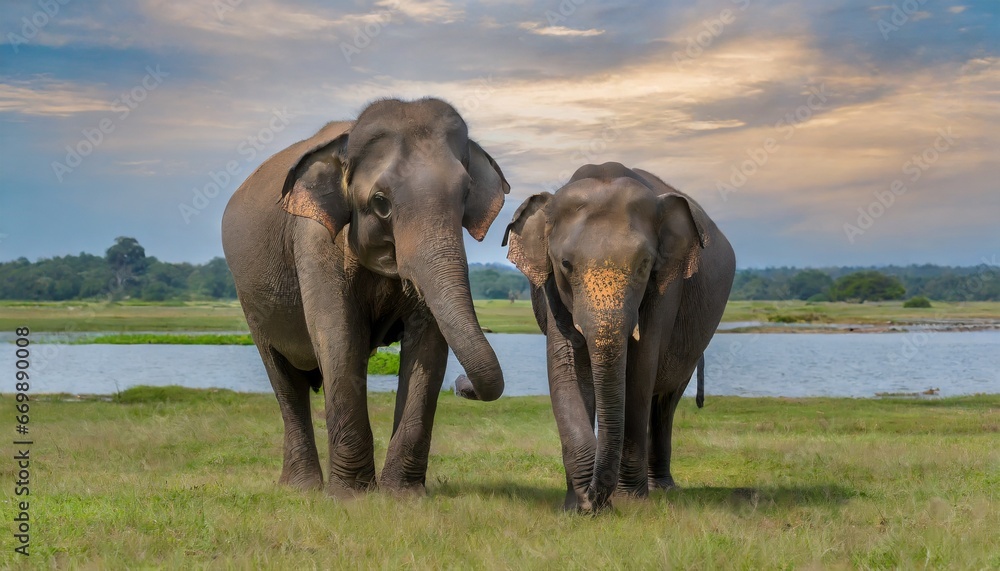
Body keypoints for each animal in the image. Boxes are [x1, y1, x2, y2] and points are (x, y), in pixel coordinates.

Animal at [221, 97, 509, 497]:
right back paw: (301, 489)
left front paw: (402, 497)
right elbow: (339, 337)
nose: (463, 386)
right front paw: (351, 498)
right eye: (380, 202)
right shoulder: (313, 240)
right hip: (250, 300)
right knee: (284, 379)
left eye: (465, 195)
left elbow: (429, 345)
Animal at [502, 162, 735, 512]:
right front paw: (578, 504)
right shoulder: (549, 289)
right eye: (565, 264)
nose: (595, 500)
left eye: (643, 264)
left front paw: (626, 500)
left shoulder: (665, 288)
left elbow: (639, 368)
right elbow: (565, 367)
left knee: (665, 401)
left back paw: (661, 488)